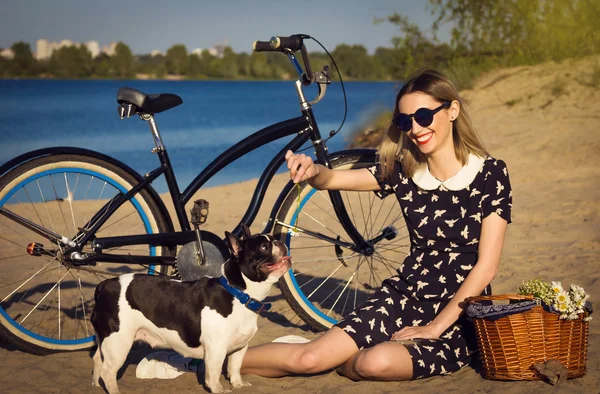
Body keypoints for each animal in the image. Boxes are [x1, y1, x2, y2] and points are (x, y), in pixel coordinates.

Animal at [89, 226, 292, 392]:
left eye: (273, 239)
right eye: (264, 247)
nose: (280, 241)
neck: (239, 293)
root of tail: (106, 285)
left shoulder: (240, 347)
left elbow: (235, 368)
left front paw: (238, 385)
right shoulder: (216, 348)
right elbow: (213, 375)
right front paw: (219, 390)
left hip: (106, 340)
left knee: (98, 360)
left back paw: (95, 385)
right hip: (119, 342)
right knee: (108, 371)